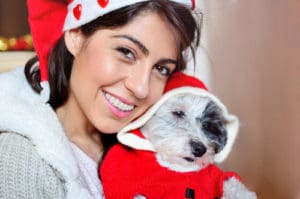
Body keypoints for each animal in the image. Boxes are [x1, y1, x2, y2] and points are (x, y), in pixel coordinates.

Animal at [99, 72, 256, 198]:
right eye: (178, 113)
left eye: (206, 125)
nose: (200, 149)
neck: (177, 168)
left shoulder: (218, 178)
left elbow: (234, 185)